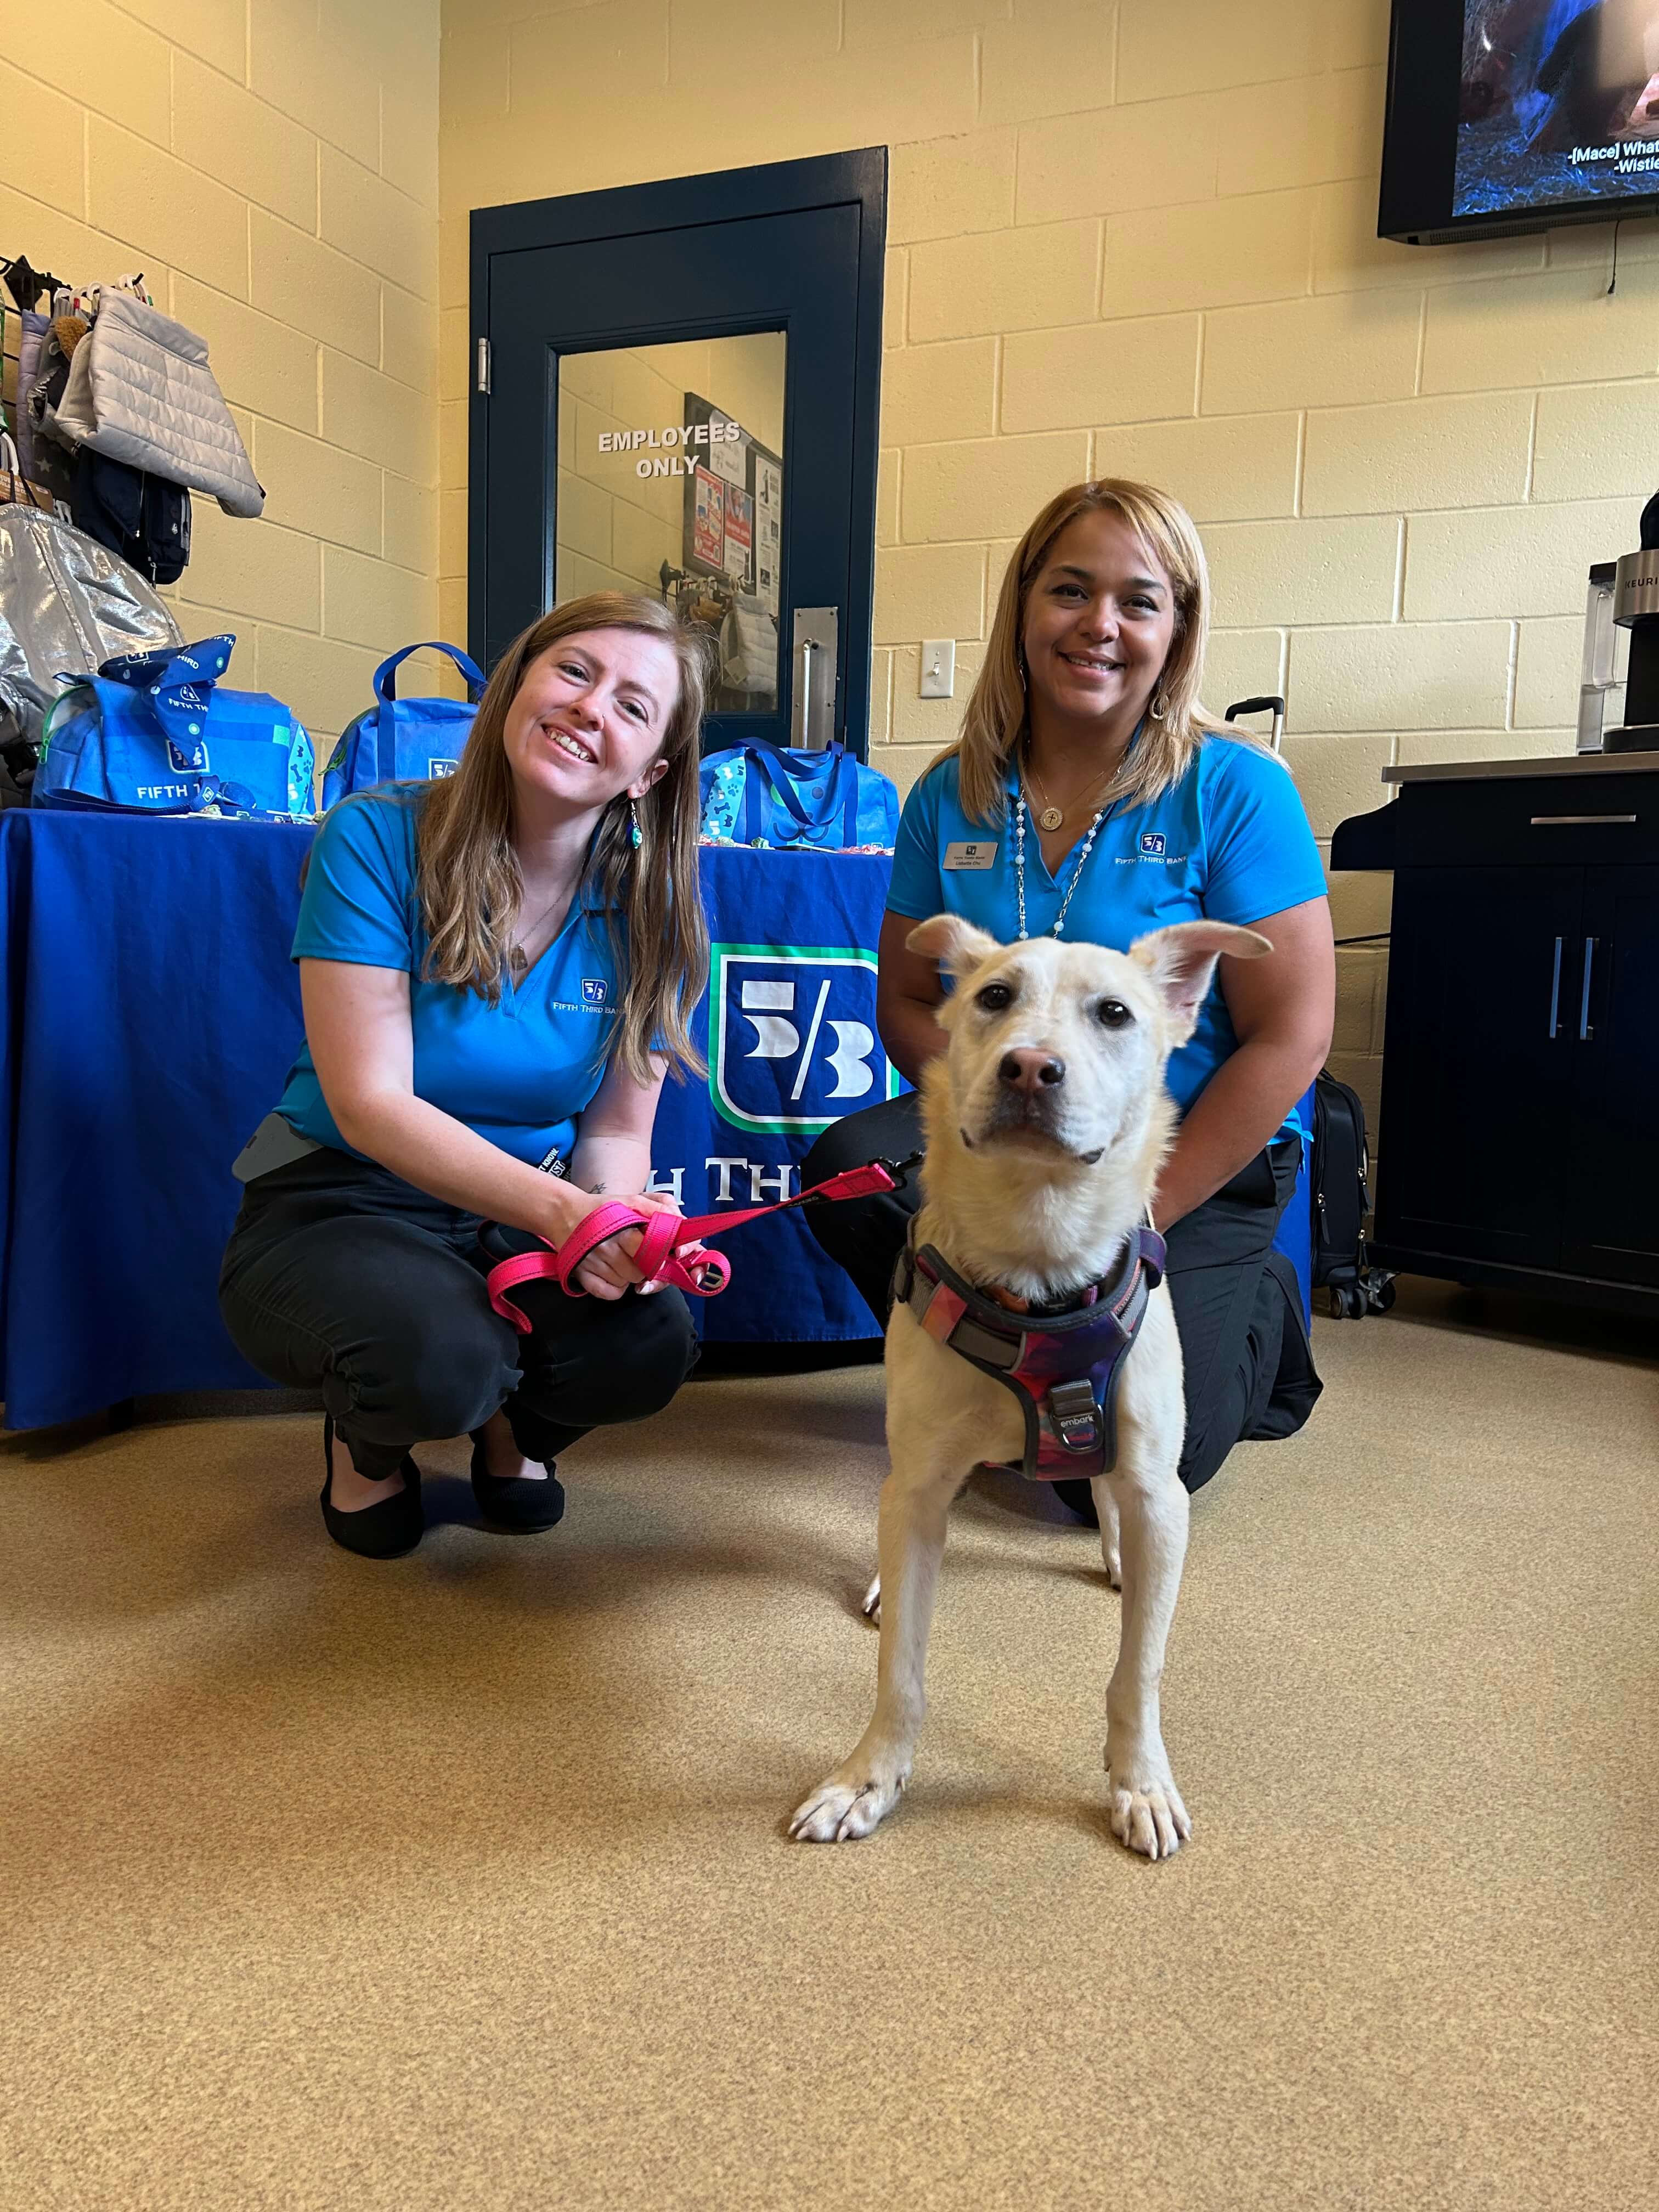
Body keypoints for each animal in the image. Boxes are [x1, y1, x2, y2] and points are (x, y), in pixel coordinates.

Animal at [789, 914, 1270, 1859]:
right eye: (994, 997)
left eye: (1116, 1013)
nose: (1029, 1067)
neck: (1039, 1260)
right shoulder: (921, 1482)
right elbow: (901, 1669)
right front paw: (868, 1781)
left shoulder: (1160, 1489)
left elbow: (1139, 1668)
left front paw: (1140, 1783)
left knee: (1110, 1495)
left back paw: (1117, 1552)